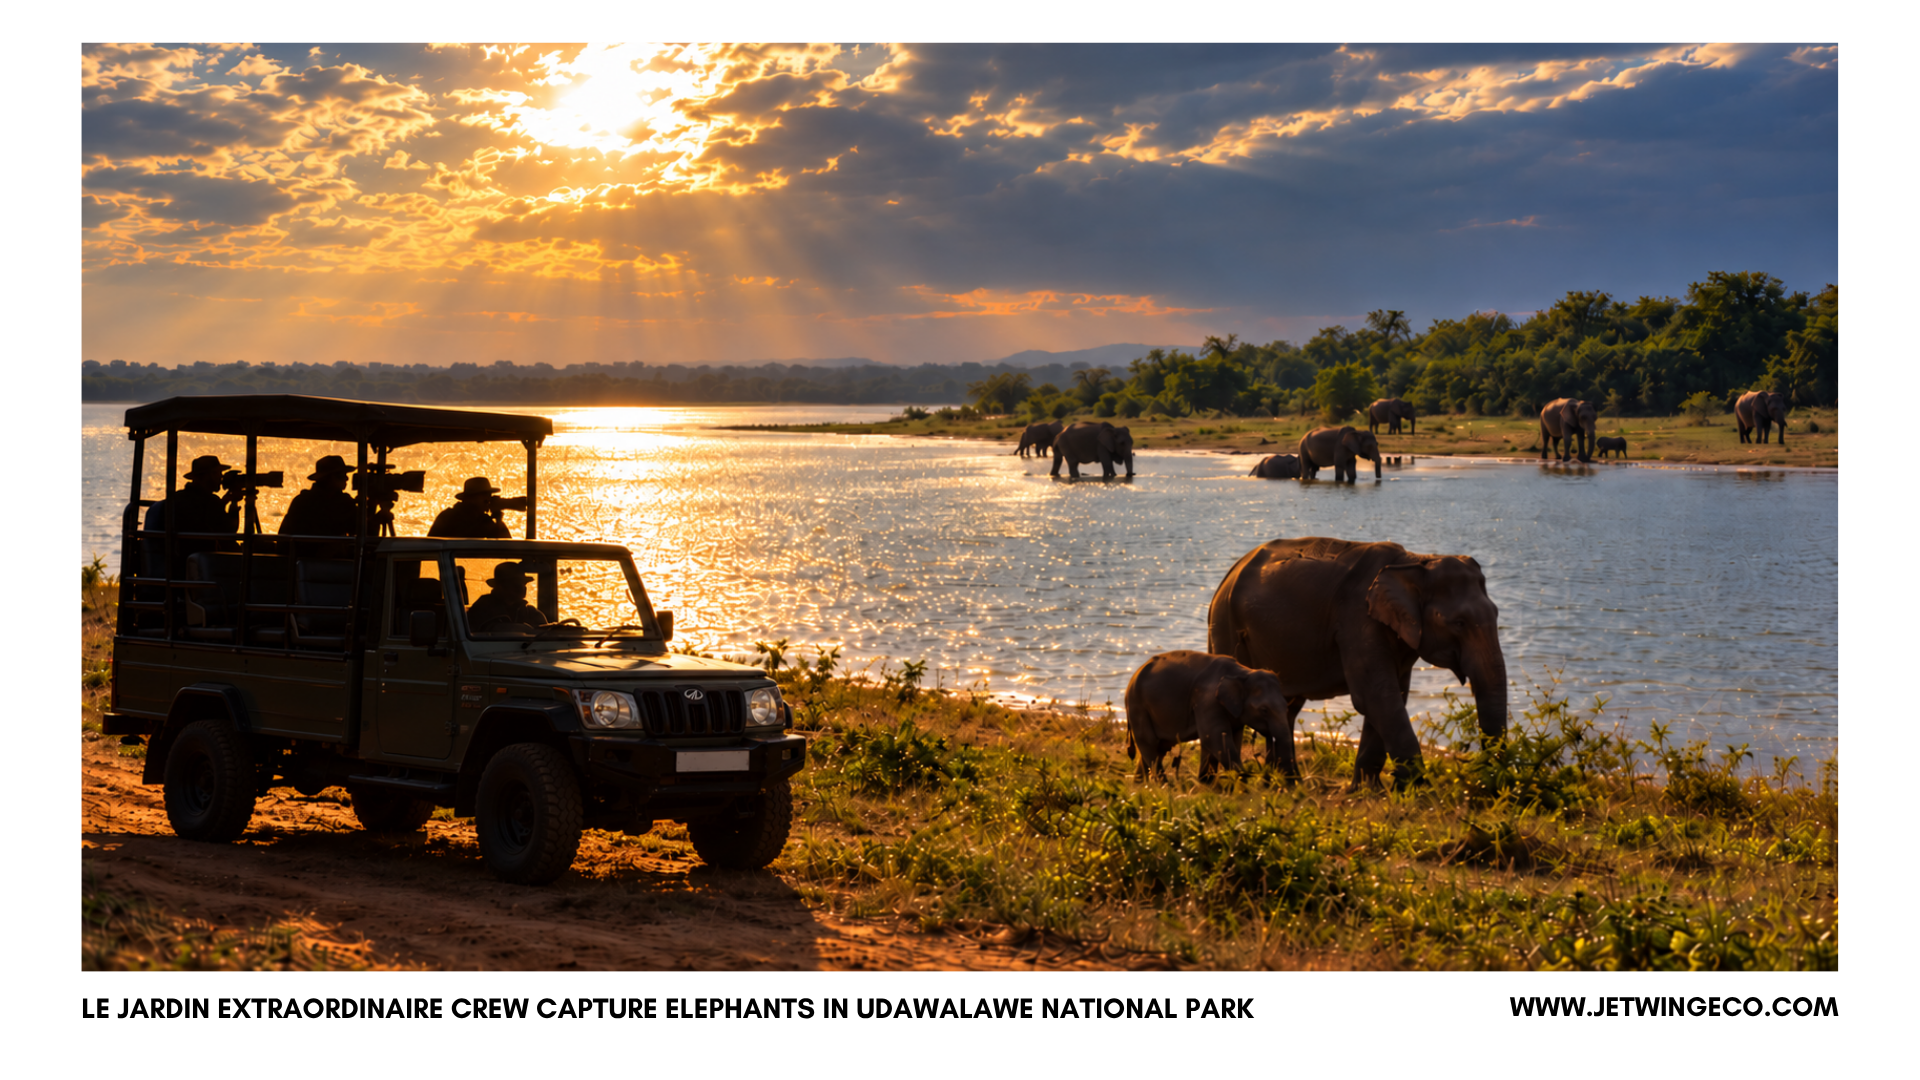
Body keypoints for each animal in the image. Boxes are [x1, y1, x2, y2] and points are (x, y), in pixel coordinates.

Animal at [1125, 650, 1299, 782]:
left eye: (1286, 706)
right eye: (1264, 710)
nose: (1288, 782)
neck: (1243, 673)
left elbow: (1229, 738)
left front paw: (1207, 782)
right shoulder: (1207, 700)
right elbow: (1215, 737)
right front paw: (1243, 781)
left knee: (1160, 747)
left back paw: (1140, 785)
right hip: (1138, 707)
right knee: (1149, 743)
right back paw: (1164, 785)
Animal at [1207, 537, 1509, 790]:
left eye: (1497, 613)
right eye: (1459, 623)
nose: (1484, 781)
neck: (1415, 560)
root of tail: (1227, 575)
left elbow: (1392, 695)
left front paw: (1368, 791)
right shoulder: (1357, 620)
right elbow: (1375, 697)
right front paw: (1419, 791)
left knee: (1287, 707)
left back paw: (1284, 784)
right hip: (1226, 625)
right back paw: (1242, 782)